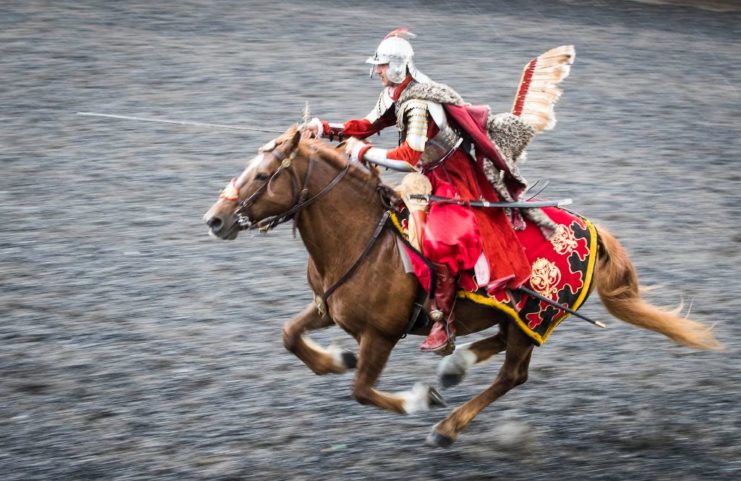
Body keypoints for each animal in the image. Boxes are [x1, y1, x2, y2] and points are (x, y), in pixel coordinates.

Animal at [201, 124, 716, 446]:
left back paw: (447, 425)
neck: (361, 238)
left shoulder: (381, 336)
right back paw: (455, 365)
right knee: (499, 342)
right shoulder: (327, 306)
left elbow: (362, 390)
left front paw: (416, 401)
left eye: (263, 175)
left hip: (535, 318)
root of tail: (591, 230)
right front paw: (335, 360)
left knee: (513, 374)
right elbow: (290, 336)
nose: (215, 219)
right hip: (515, 315)